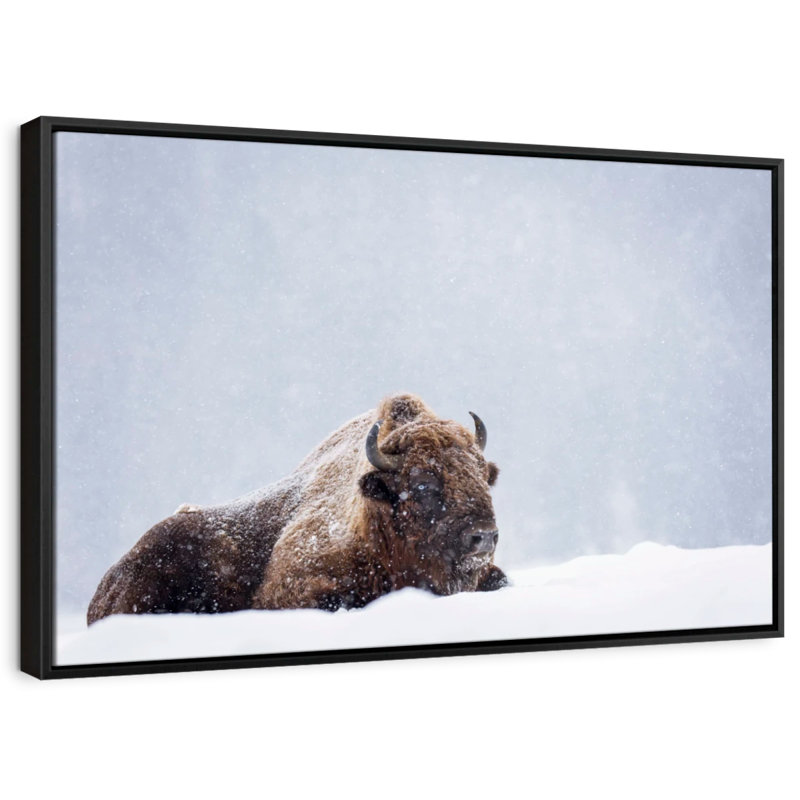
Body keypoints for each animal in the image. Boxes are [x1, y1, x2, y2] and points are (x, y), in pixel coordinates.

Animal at [87, 393, 507, 624]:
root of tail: (107, 584)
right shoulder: (294, 587)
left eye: (483, 475)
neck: (372, 519)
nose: (484, 536)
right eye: (422, 483)